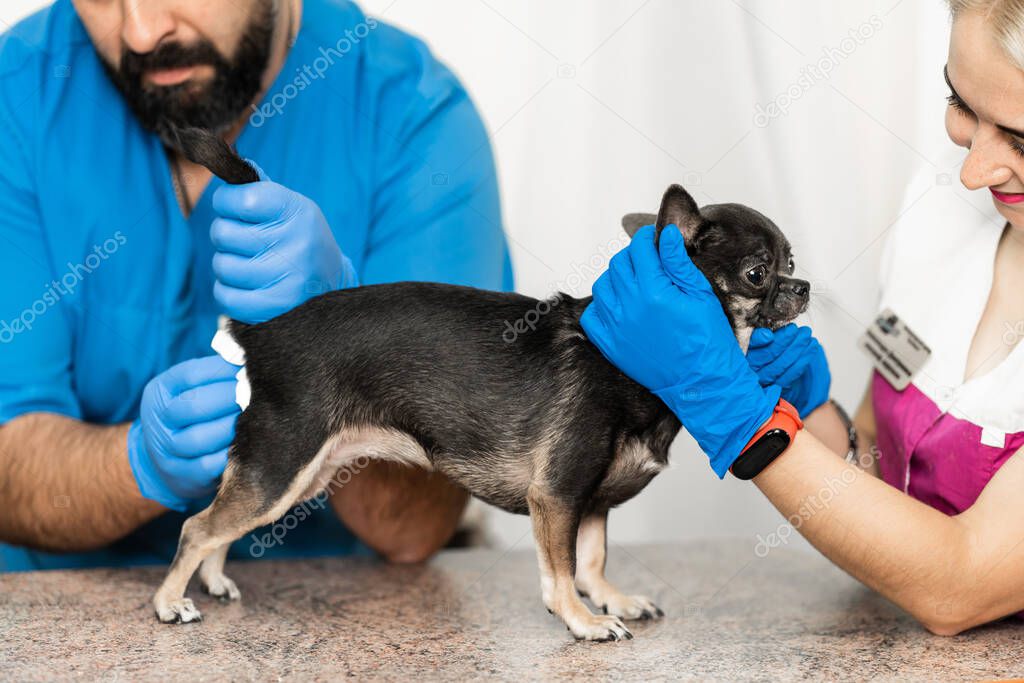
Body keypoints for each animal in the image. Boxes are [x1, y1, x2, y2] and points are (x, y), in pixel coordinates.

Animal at [151, 127, 806, 643]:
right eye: (758, 273)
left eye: (793, 262)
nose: (803, 288)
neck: (632, 362)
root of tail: (261, 332)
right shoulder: (557, 496)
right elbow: (562, 572)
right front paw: (582, 620)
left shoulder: (592, 502)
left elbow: (592, 560)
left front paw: (612, 599)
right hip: (280, 469)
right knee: (195, 527)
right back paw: (168, 602)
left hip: (297, 476)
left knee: (218, 524)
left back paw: (214, 580)